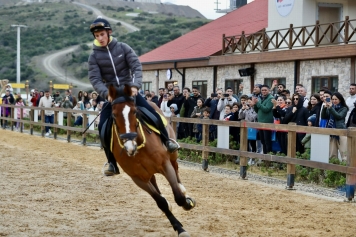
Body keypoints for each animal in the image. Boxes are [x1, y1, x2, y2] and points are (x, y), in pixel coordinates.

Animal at [108, 84, 197, 236]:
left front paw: (187, 202)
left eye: (134, 112)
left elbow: (179, 197)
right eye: (114, 115)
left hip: (172, 155)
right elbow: (161, 202)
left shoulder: (165, 165)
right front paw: (179, 228)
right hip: (147, 173)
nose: (129, 146)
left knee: (176, 168)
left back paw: (183, 190)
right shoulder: (138, 179)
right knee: (155, 183)